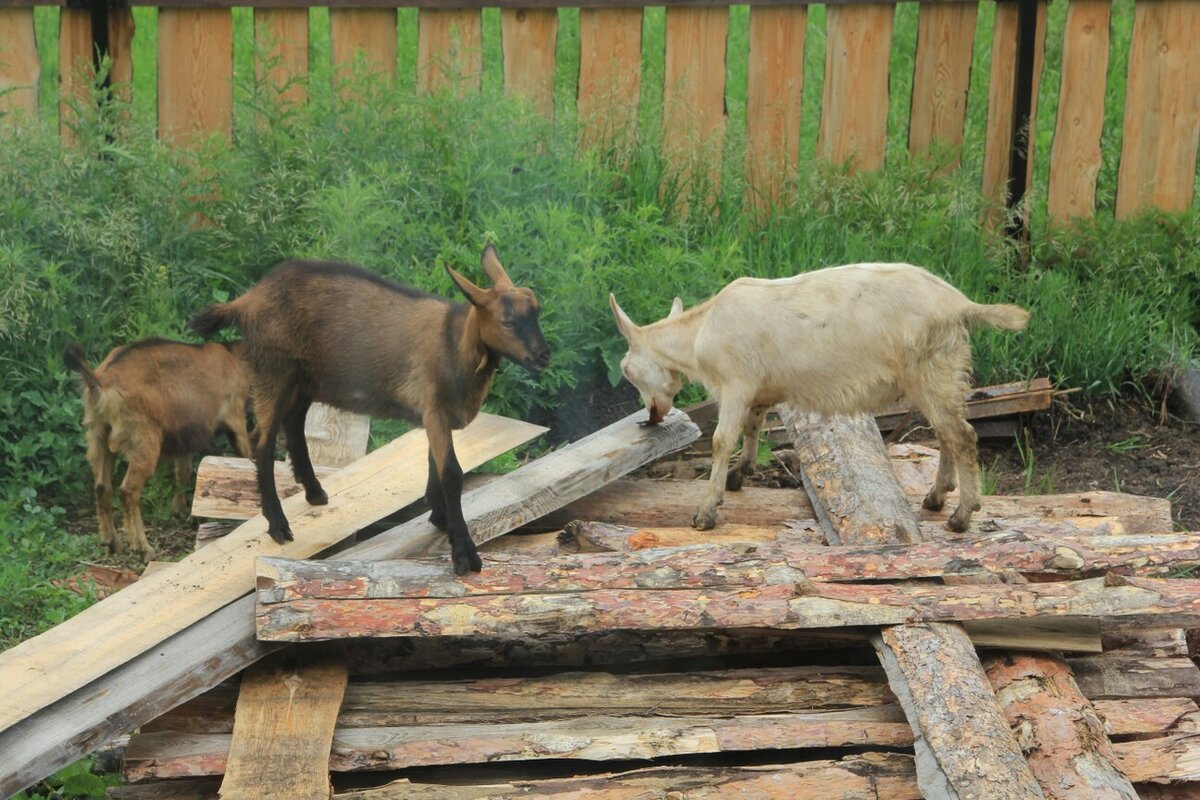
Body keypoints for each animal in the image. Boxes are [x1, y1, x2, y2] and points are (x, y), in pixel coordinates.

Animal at [62, 340, 253, 561]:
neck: (233, 356)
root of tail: (100, 380)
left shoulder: (184, 435)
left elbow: (182, 471)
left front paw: (179, 509)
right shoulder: (235, 416)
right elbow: (248, 456)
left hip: (98, 435)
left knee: (102, 487)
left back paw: (113, 543)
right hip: (142, 440)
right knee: (128, 491)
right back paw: (143, 548)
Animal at [189, 245, 549, 575]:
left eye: (537, 311)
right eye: (507, 321)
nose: (544, 356)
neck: (454, 343)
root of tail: (248, 299)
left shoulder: (436, 414)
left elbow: (435, 463)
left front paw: (439, 517)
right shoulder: (434, 406)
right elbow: (452, 474)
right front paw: (464, 553)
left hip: (307, 376)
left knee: (293, 422)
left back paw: (314, 491)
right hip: (273, 368)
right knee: (262, 442)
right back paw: (278, 525)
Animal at [614, 266, 1027, 534]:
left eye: (626, 370)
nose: (651, 415)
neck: (700, 332)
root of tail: (961, 305)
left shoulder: (736, 384)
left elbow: (721, 441)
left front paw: (706, 511)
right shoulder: (759, 388)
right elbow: (754, 425)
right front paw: (741, 472)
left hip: (930, 369)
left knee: (962, 436)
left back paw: (962, 515)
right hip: (940, 370)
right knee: (947, 433)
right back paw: (937, 497)